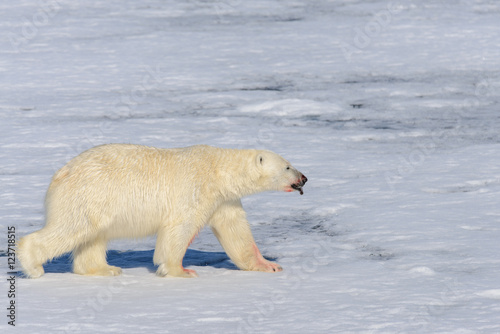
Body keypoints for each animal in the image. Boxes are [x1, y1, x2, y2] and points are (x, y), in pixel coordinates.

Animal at [17, 145, 306, 278]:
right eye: (287, 166)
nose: (303, 178)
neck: (217, 169)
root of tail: (60, 174)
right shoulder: (194, 189)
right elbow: (179, 228)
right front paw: (181, 271)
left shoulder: (223, 200)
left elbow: (236, 233)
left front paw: (269, 265)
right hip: (88, 196)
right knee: (72, 228)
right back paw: (33, 266)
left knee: (93, 237)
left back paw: (105, 269)